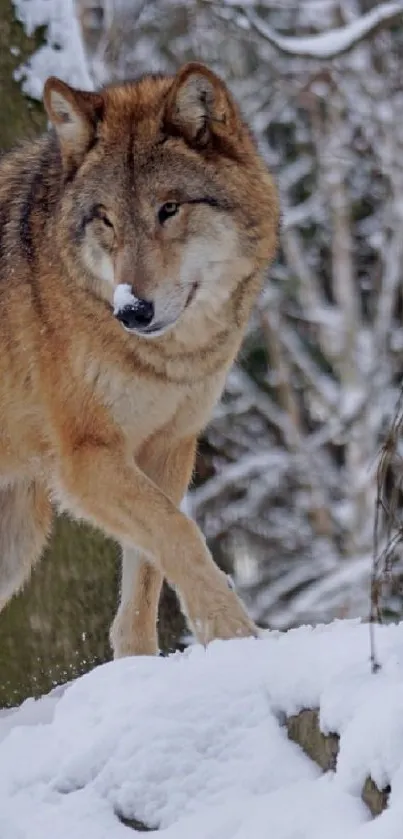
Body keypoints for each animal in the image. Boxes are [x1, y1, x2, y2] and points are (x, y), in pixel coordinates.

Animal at [0, 62, 280, 660]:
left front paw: (139, 666)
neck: (168, 360)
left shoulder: (167, 448)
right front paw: (235, 636)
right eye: (105, 219)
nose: (131, 309)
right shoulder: (86, 458)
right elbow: (180, 533)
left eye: (168, 209)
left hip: (18, 535)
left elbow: (148, 575)